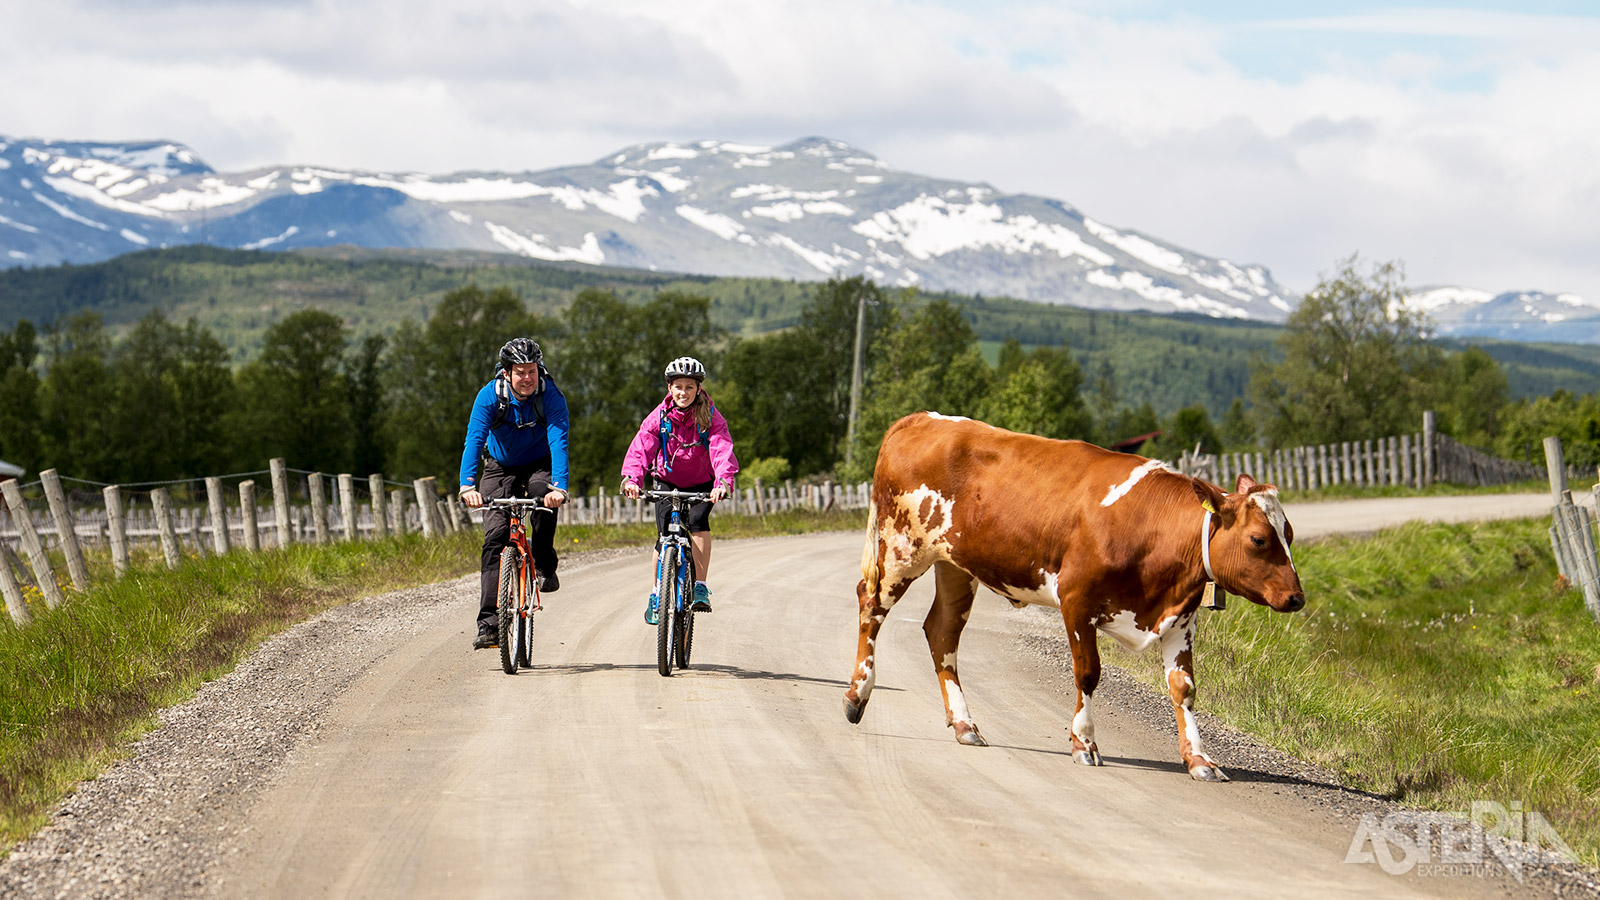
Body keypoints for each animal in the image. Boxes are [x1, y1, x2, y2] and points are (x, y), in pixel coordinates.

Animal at [844, 413, 1305, 778]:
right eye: (1259, 539)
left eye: (1289, 533)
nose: (1297, 598)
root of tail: (920, 418)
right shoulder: (1077, 601)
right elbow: (1088, 674)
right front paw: (1084, 743)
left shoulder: (1181, 619)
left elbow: (1184, 688)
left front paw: (1199, 760)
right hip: (901, 548)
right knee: (871, 605)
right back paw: (857, 696)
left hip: (956, 565)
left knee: (942, 631)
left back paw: (965, 725)